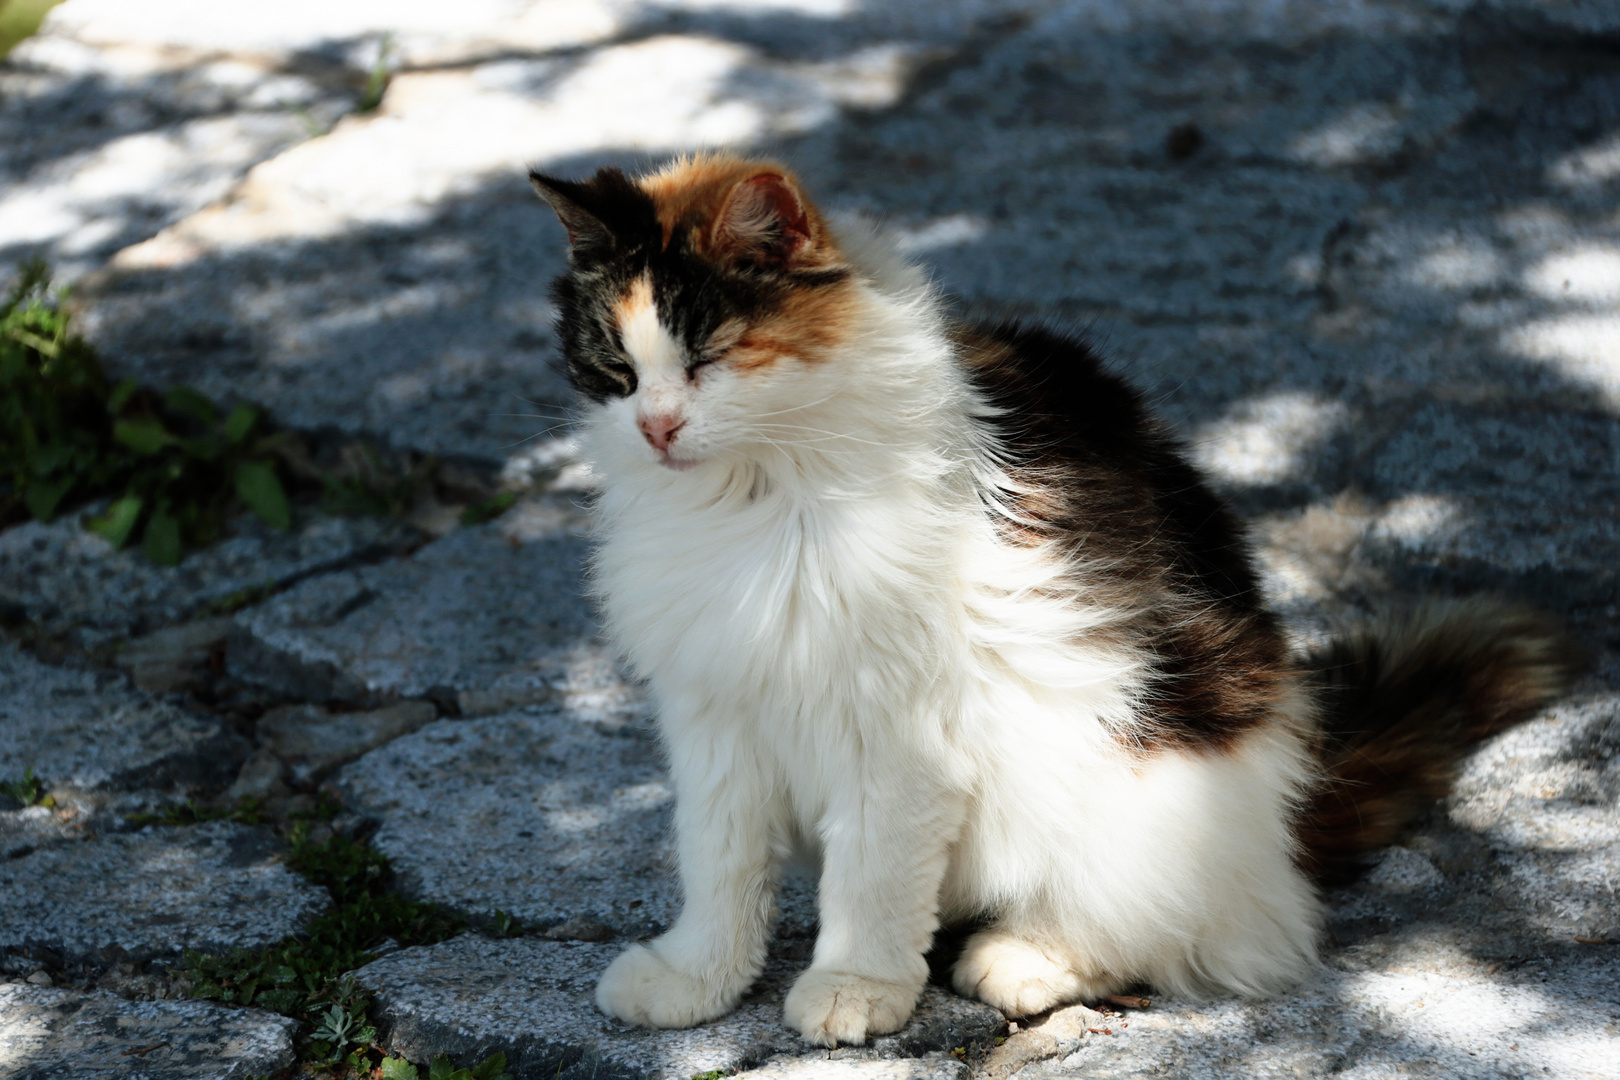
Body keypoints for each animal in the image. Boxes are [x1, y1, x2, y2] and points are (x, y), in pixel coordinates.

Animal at [531, 153, 1581, 1049]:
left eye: (709, 357)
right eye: (617, 370)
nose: (657, 428)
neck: (750, 496)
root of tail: (1292, 810)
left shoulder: (898, 732)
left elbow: (871, 879)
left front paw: (855, 987)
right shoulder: (715, 711)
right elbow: (720, 866)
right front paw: (698, 979)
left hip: (1134, 776)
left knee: (1197, 933)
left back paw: (1022, 958)